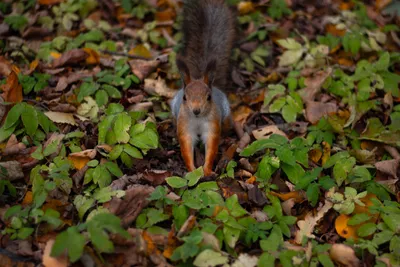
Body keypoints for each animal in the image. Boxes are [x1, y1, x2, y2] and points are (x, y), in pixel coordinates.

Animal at [170, 0, 234, 177]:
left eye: (209, 97)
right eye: (185, 97)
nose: (196, 110)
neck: (198, 119)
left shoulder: (212, 125)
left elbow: (211, 147)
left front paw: (206, 170)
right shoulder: (184, 125)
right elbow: (186, 146)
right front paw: (192, 170)